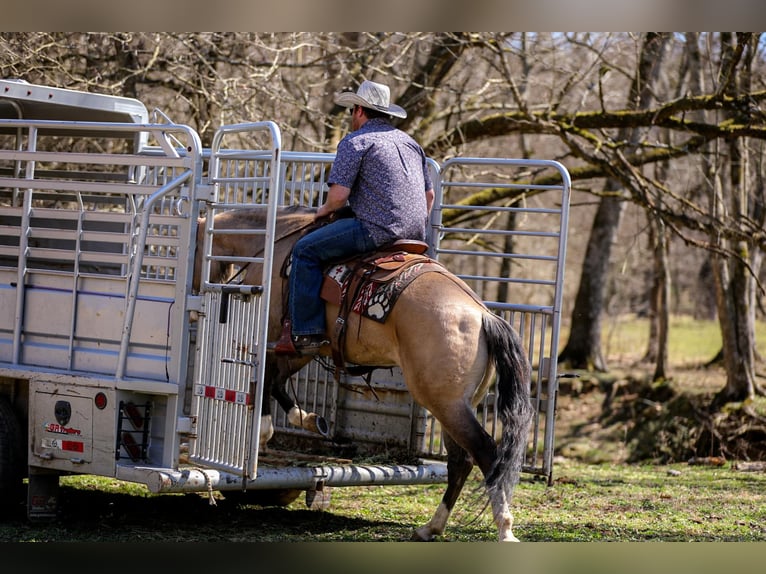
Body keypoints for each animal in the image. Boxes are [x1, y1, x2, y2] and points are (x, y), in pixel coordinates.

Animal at [193, 204, 534, 542]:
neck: (273, 242)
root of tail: (483, 315)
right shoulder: (306, 346)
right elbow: (277, 381)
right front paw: (308, 419)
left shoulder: (274, 335)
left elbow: (266, 377)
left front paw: (266, 430)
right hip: (456, 404)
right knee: (460, 461)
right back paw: (431, 527)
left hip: (445, 403)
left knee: (485, 453)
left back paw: (504, 530)